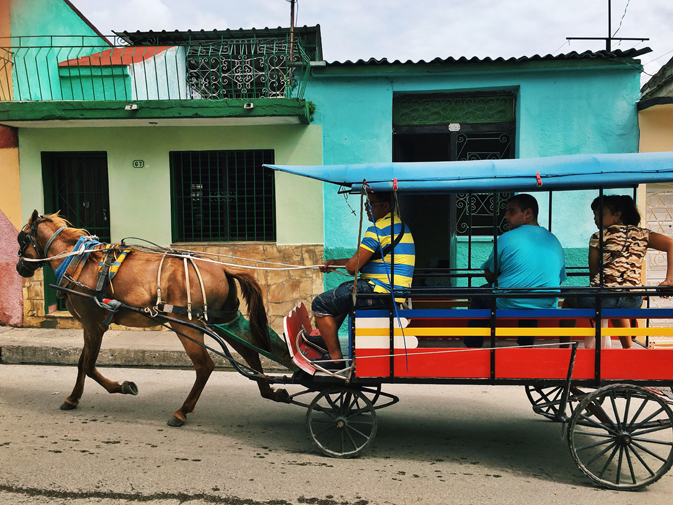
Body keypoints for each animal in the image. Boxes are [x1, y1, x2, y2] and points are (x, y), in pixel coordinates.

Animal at [15, 209, 292, 426]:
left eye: (22, 238)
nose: (19, 267)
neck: (78, 261)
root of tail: (223, 268)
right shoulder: (89, 325)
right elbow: (81, 363)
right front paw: (73, 398)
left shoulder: (93, 324)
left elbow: (89, 366)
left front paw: (122, 387)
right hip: (224, 320)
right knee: (251, 354)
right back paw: (270, 391)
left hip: (188, 325)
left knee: (205, 366)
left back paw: (181, 412)